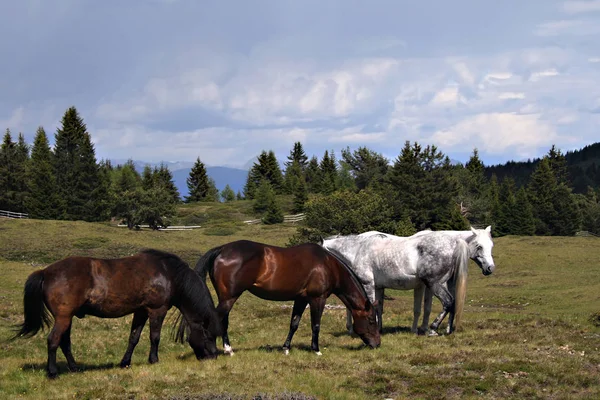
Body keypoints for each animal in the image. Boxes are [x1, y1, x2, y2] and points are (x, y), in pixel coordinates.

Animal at [13, 250, 220, 378]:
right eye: (208, 335)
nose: (213, 356)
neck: (167, 273)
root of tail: (45, 272)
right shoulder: (156, 310)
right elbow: (155, 337)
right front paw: (154, 360)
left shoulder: (140, 312)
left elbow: (134, 338)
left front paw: (125, 362)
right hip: (63, 318)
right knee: (53, 340)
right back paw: (53, 372)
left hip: (67, 318)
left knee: (65, 343)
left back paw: (75, 369)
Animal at [185, 241, 380, 356]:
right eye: (371, 320)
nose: (377, 344)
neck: (327, 265)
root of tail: (222, 250)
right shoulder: (317, 299)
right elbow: (316, 325)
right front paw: (316, 349)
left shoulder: (301, 299)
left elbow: (294, 323)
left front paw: (286, 348)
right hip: (229, 298)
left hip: (226, 298)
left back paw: (228, 349)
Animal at [322, 228, 494, 334]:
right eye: (480, 246)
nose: (490, 268)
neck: (359, 249)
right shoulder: (378, 287)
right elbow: (378, 308)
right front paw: (379, 328)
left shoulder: (368, 285)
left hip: (435, 284)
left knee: (448, 302)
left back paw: (433, 328)